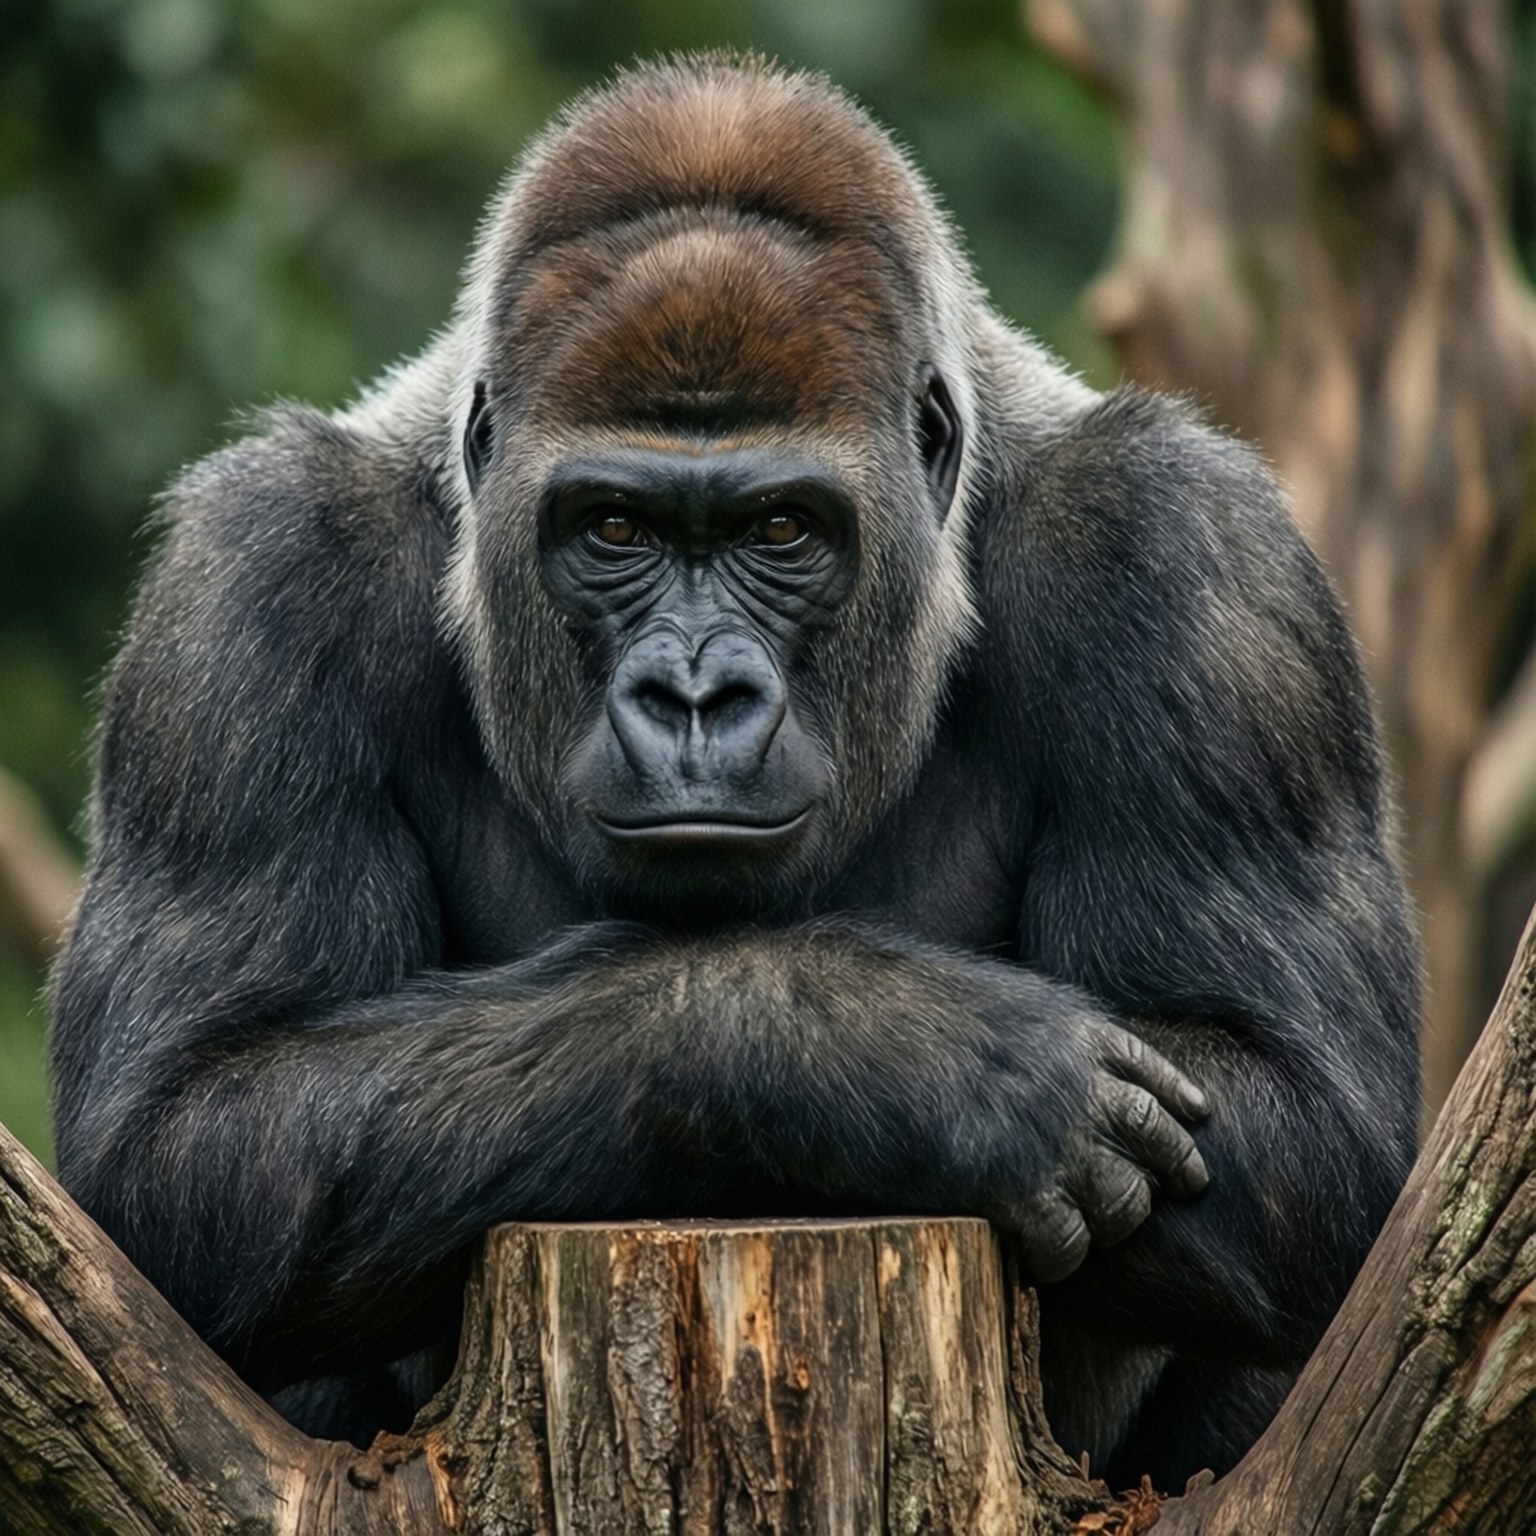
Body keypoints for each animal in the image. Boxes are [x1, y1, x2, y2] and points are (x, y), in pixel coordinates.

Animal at [50, 54, 1418, 1488]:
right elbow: (188, 1137)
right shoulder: (254, 575)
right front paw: (883, 1051)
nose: (697, 696)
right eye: (613, 528)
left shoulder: (1194, 553)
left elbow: (1310, 1133)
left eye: (781, 530)